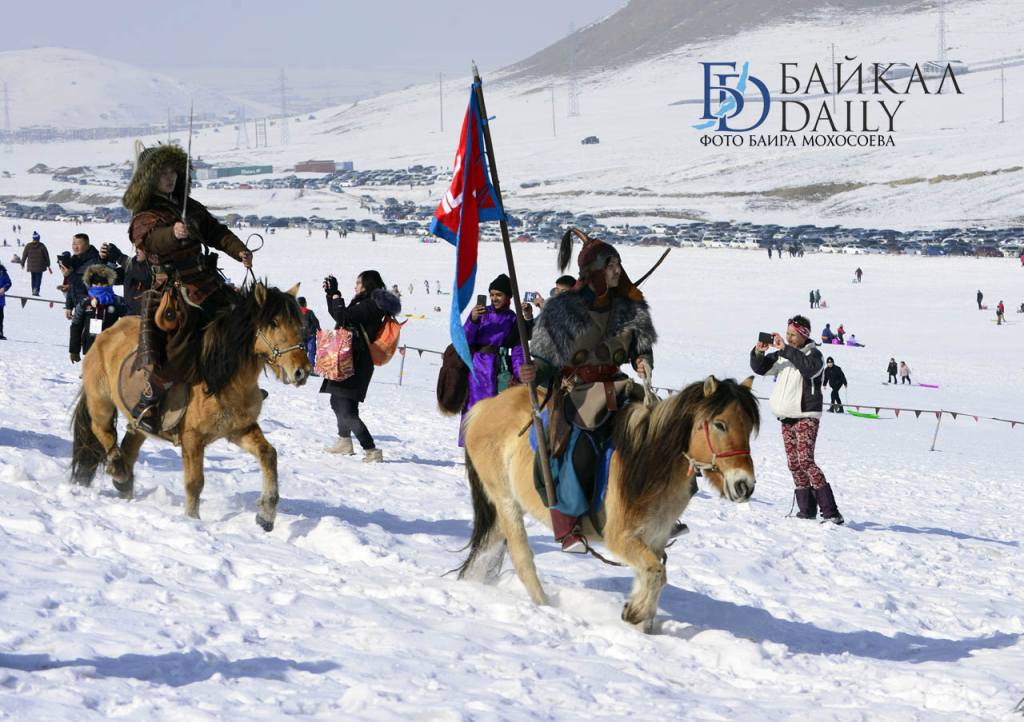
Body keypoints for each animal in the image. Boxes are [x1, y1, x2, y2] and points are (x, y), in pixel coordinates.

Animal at [69, 282, 309, 528]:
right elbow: (195, 482)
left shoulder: (239, 429)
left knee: (129, 447)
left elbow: (268, 454)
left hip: (137, 423)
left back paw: (125, 486)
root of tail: (105, 334)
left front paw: (266, 515)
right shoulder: (193, 439)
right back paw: (118, 471)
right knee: (104, 432)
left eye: (299, 324)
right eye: (273, 323)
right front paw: (193, 519)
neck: (223, 379)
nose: (302, 371)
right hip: (101, 401)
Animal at [458, 374, 761, 626]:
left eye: (748, 428)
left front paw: (638, 616)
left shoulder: (654, 539)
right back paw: (547, 607)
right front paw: (637, 612)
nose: (744, 485)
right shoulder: (621, 538)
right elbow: (656, 573)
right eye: (720, 424)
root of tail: (485, 406)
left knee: (487, 546)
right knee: (522, 559)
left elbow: (650, 577)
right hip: (505, 500)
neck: (649, 464)